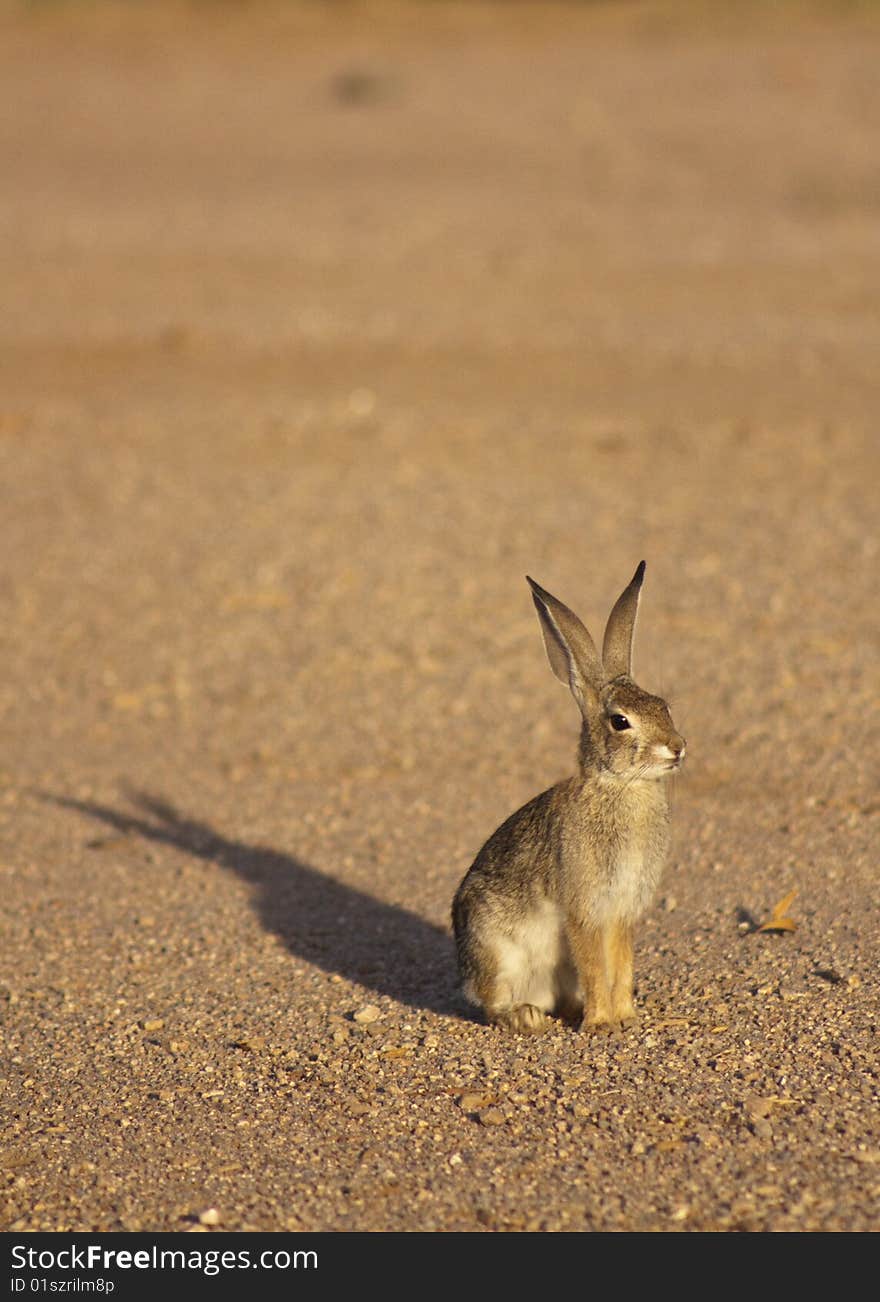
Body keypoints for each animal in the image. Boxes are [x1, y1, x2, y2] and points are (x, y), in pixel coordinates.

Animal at [453, 565, 687, 1031]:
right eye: (620, 721)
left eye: (663, 706)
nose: (677, 747)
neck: (621, 785)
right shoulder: (585, 906)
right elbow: (596, 966)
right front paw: (600, 1024)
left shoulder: (622, 911)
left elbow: (621, 965)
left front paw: (626, 1018)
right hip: (496, 948)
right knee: (490, 999)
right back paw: (523, 1016)